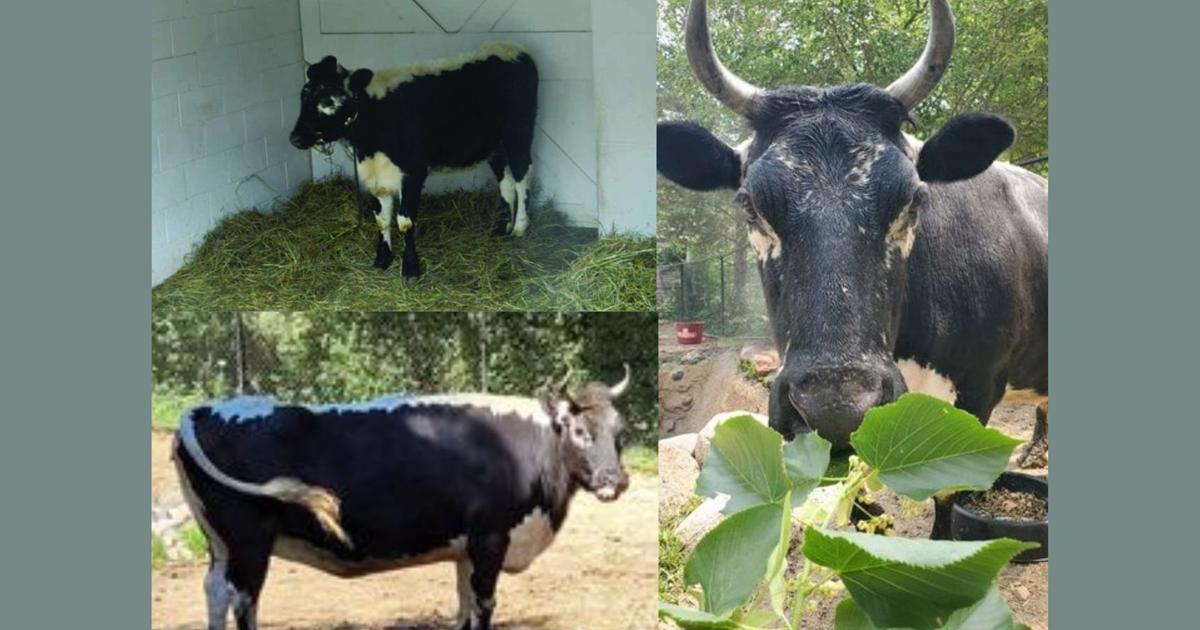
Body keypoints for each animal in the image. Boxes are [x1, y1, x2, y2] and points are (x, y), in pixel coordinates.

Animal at [172, 366, 633, 630]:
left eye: (619, 431)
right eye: (579, 431)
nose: (615, 480)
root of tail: (202, 410)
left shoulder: (465, 547)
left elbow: (464, 606)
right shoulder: (490, 538)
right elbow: (484, 605)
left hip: (221, 543)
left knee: (215, 592)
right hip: (249, 542)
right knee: (243, 599)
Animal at [289, 42, 539, 278]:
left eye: (329, 102)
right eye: (303, 95)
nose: (295, 138)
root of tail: (511, 47)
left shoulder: (413, 172)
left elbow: (404, 221)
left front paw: (410, 269)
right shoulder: (376, 176)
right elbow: (381, 219)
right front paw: (382, 260)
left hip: (518, 133)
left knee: (522, 174)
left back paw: (520, 227)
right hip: (494, 147)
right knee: (505, 180)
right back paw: (502, 228)